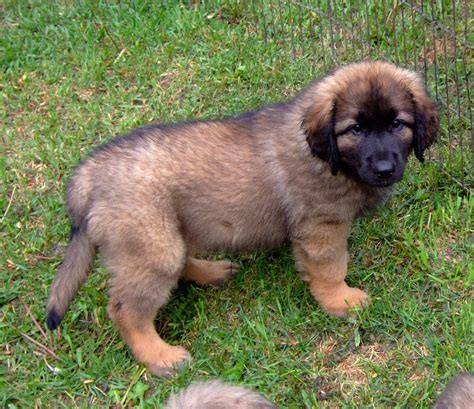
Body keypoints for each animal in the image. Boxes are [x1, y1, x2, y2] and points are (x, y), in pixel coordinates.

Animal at [46, 59, 438, 374]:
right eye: (355, 129)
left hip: (168, 235)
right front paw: (341, 300)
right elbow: (330, 268)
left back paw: (212, 272)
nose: (385, 169)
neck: (330, 157)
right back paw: (160, 356)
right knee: (126, 310)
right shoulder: (322, 227)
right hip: (152, 245)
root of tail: (89, 174)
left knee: (180, 261)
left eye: (398, 124)